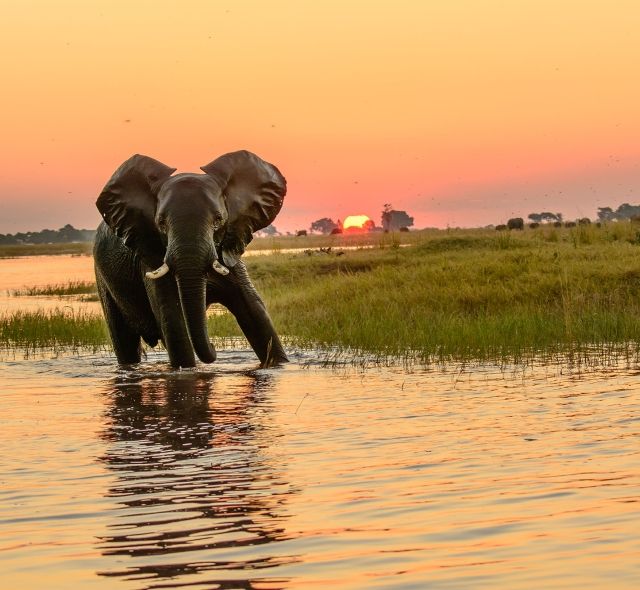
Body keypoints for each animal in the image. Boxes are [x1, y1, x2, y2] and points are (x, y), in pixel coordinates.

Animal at [93, 149, 288, 370]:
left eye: (218, 220)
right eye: (161, 223)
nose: (213, 347)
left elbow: (255, 312)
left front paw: (278, 366)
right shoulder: (151, 256)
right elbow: (173, 321)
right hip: (103, 279)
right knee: (124, 341)